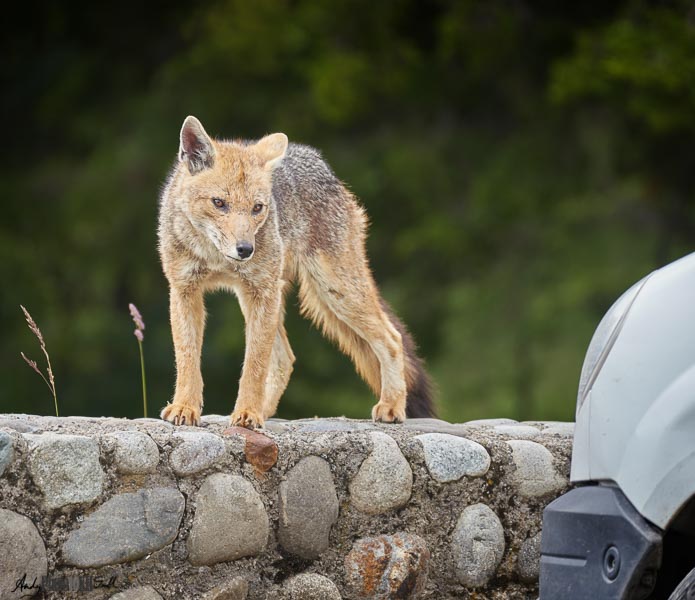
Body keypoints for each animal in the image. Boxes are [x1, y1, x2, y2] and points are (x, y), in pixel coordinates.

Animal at [159, 116, 436, 426]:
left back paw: (392, 406)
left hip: (334, 293)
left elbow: (253, 366)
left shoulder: (261, 293)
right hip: (269, 300)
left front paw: (247, 413)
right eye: (219, 203)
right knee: (285, 359)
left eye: (257, 208)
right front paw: (185, 407)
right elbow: (188, 360)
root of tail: (324, 166)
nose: (245, 249)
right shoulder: (184, 291)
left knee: (392, 339)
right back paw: (265, 409)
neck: (216, 258)